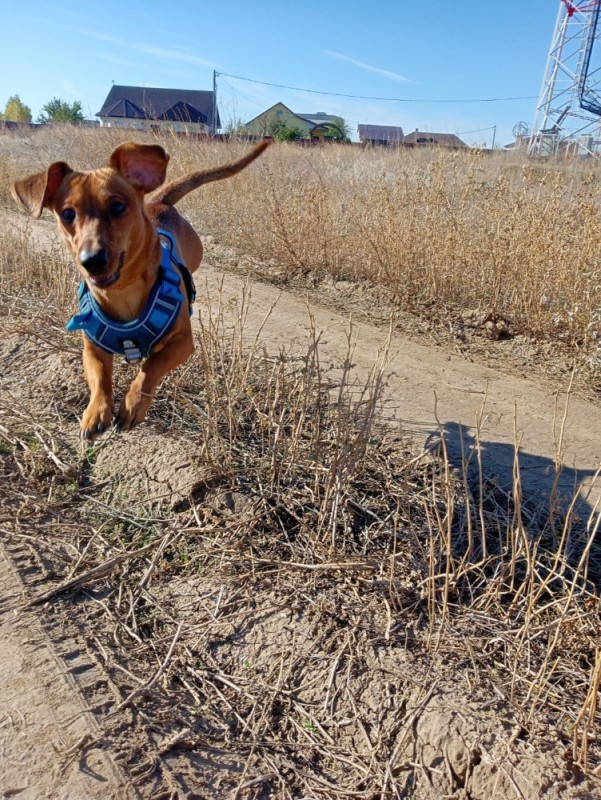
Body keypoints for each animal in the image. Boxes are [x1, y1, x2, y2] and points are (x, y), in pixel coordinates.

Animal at [11, 138, 270, 438]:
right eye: (67, 214)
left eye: (117, 207)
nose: (92, 261)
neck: (121, 291)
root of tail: (158, 201)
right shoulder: (92, 348)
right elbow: (100, 379)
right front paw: (96, 411)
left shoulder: (182, 342)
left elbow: (150, 367)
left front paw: (133, 404)